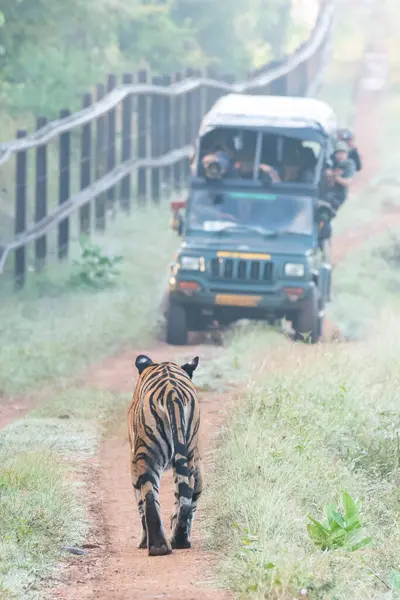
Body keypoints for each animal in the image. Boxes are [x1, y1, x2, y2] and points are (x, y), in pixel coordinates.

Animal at [128, 354, 203, 556]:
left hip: (147, 454)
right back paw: (173, 542)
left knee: (149, 497)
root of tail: (172, 391)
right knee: (184, 499)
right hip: (186, 457)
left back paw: (161, 545)